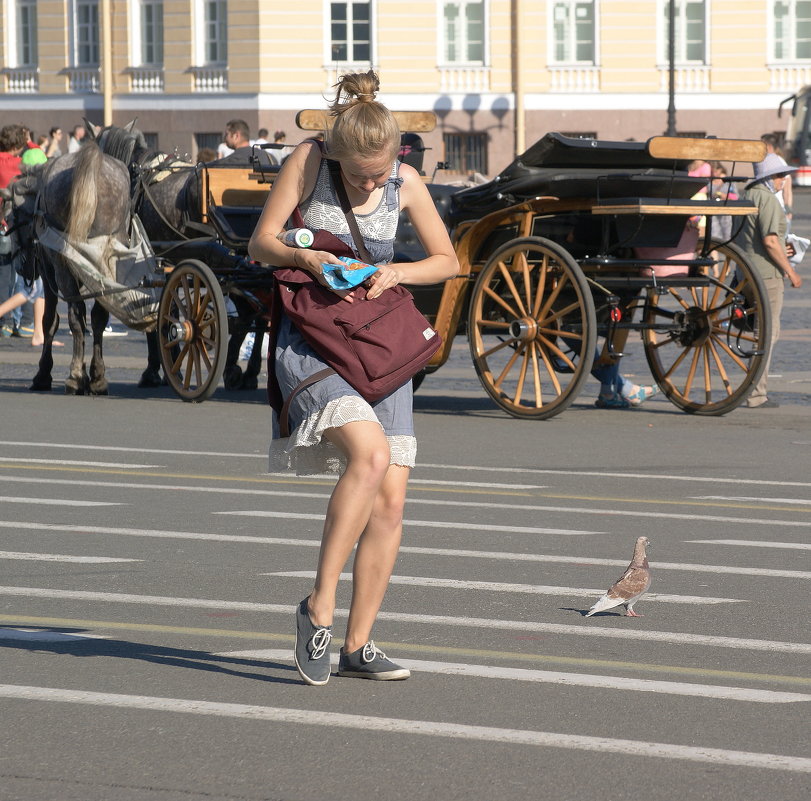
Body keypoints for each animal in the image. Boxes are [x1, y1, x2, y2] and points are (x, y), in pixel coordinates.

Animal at [28, 144, 133, 396]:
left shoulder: (47, 269)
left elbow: (50, 320)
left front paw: (43, 374)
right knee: (97, 317)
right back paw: (97, 377)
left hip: (60, 265)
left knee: (76, 314)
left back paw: (76, 376)